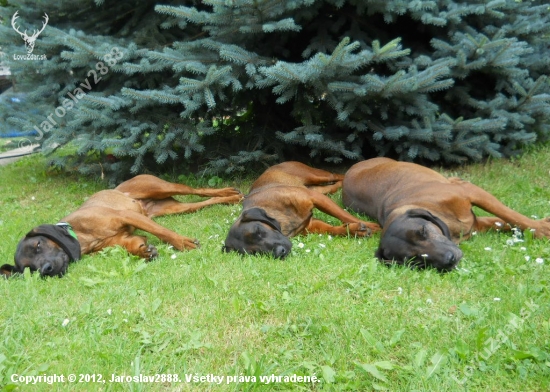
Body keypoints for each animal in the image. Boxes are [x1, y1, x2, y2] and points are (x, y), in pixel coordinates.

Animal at [222, 161, 382, 258]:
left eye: (259, 231)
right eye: (254, 252)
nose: (281, 252)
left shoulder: (315, 198)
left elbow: (345, 216)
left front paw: (374, 226)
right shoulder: (312, 225)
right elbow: (334, 229)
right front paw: (355, 230)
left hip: (315, 176)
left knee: (337, 175)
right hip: (321, 189)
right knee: (334, 185)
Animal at [342, 158, 550, 272]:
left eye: (423, 231)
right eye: (415, 260)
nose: (450, 259)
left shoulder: (470, 191)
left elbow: (512, 217)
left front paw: (541, 228)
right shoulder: (476, 225)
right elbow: (504, 222)